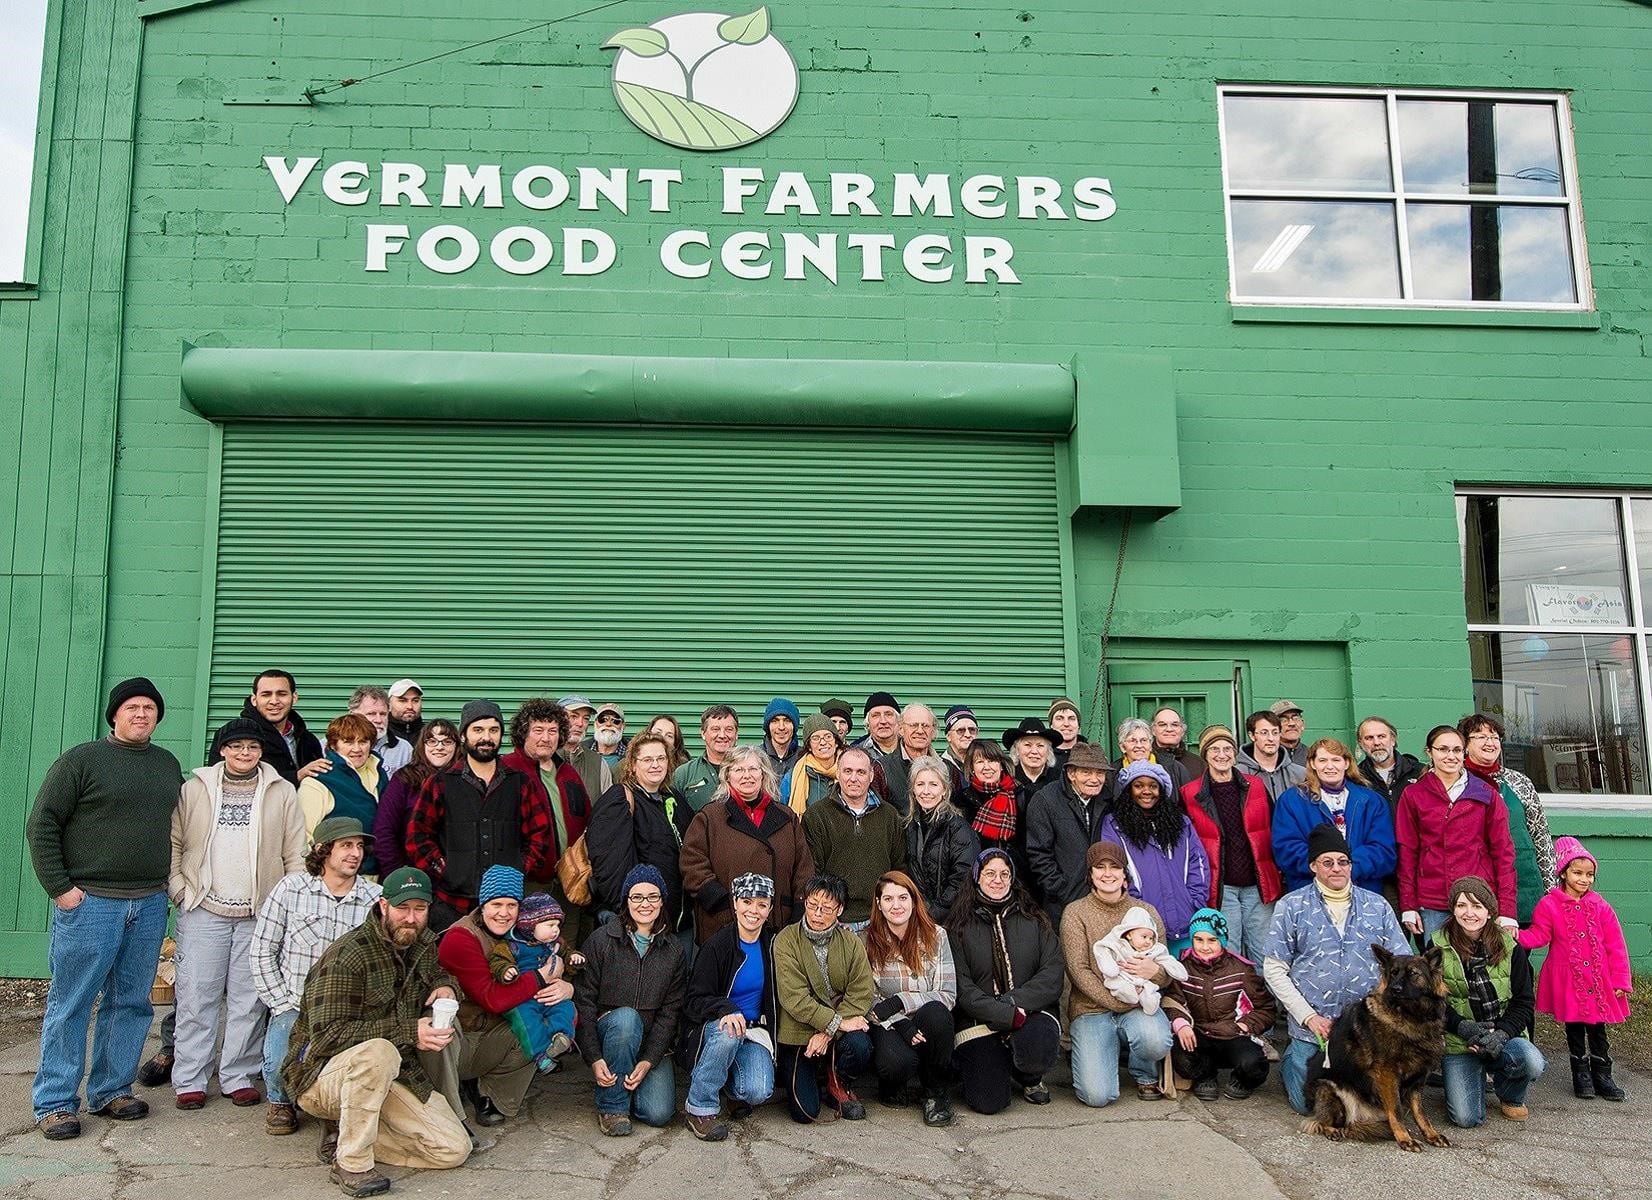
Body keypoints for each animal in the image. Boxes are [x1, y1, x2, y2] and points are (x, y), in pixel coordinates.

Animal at [1301, 952, 1447, 1157]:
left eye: (1413, 973)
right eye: (1393, 973)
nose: (1395, 989)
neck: (1411, 1018)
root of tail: (1359, 1119)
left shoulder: (1419, 1077)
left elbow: (1420, 1112)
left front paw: (1431, 1134)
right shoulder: (1387, 1074)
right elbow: (1396, 1110)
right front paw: (1405, 1139)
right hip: (1328, 1088)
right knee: (1321, 1121)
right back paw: (1332, 1130)